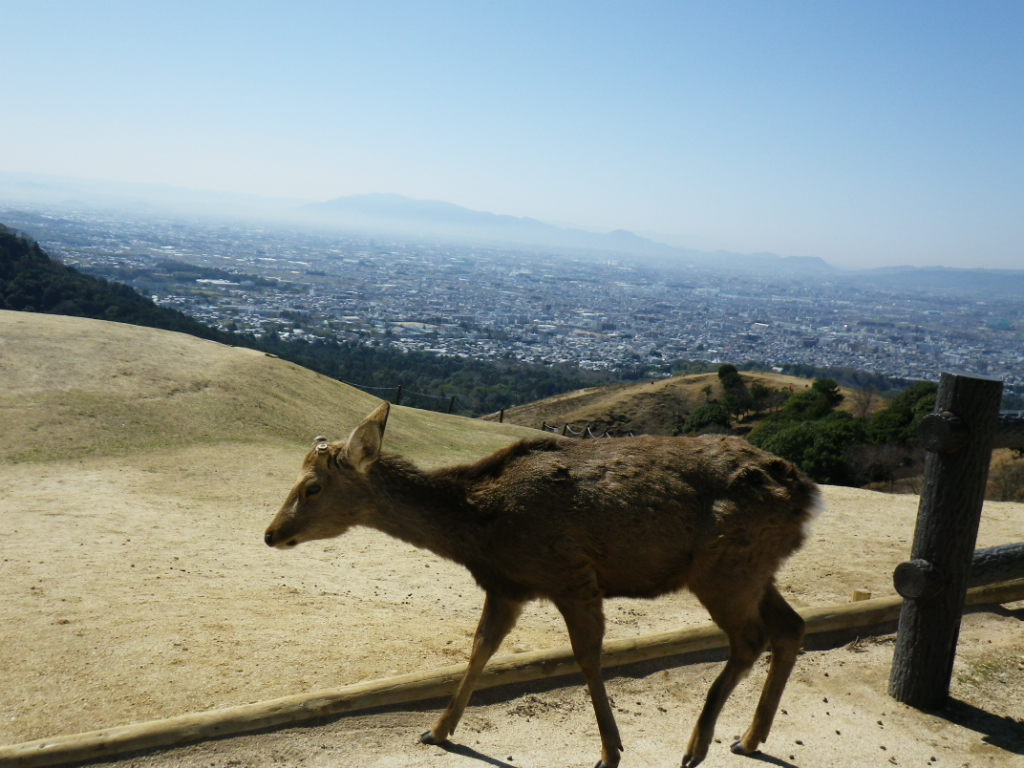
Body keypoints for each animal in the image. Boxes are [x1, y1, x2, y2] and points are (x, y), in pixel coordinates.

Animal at [266, 403, 823, 768]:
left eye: (312, 487)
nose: (271, 533)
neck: (482, 528)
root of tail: (808, 496)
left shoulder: (571, 576)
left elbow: (588, 657)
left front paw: (610, 752)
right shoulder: (508, 586)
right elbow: (480, 648)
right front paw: (437, 731)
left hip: (725, 569)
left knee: (750, 639)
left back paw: (697, 746)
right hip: (757, 571)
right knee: (791, 626)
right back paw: (748, 739)